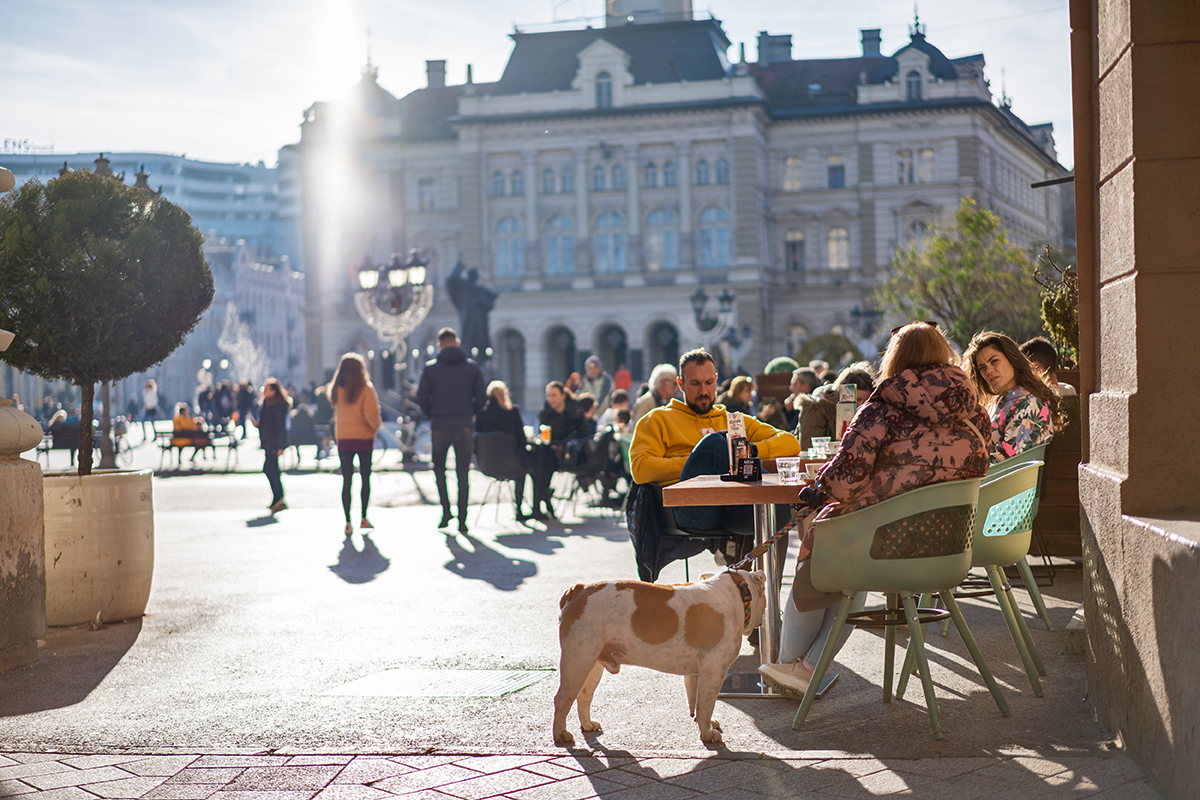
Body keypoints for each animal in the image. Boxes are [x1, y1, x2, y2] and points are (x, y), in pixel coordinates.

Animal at [554, 568, 768, 743]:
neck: (739, 592)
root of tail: (578, 590)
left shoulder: (696, 673)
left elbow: (696, 701)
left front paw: (704, 723)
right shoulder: (714, 672)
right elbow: (706, 705)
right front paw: (707, 734)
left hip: (592, 665)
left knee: (583, 696)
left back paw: (587, 724)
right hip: (577, 662)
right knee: (562, 699)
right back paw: (560, 734)